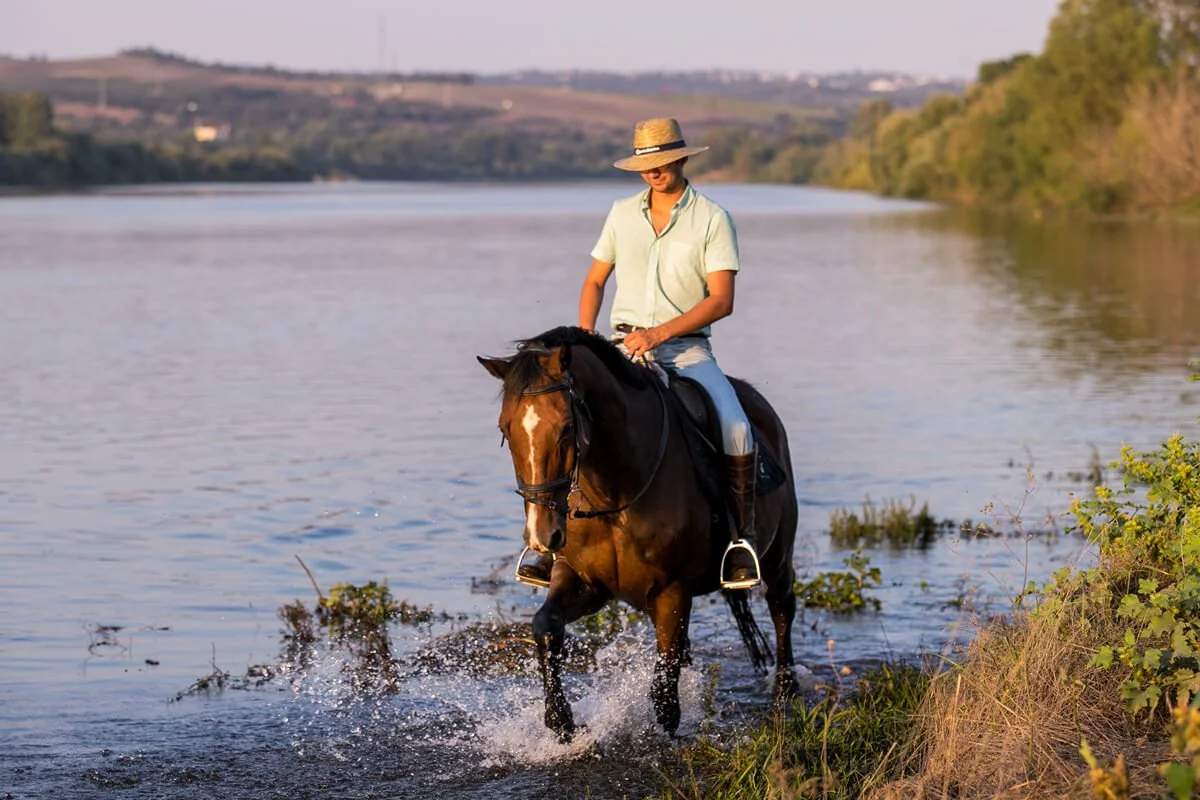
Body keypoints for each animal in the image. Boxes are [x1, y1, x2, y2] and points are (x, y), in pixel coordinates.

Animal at [477, 325, 799, 740]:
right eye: (506, 429)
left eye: (566, 428)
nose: (541, 536)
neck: (615, 492)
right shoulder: (584, 582)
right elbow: (545, 626)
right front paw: (561, 721)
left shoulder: (672, 590)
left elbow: (664, 697)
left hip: (778, 556)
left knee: (781, 606)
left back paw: (785, 691)